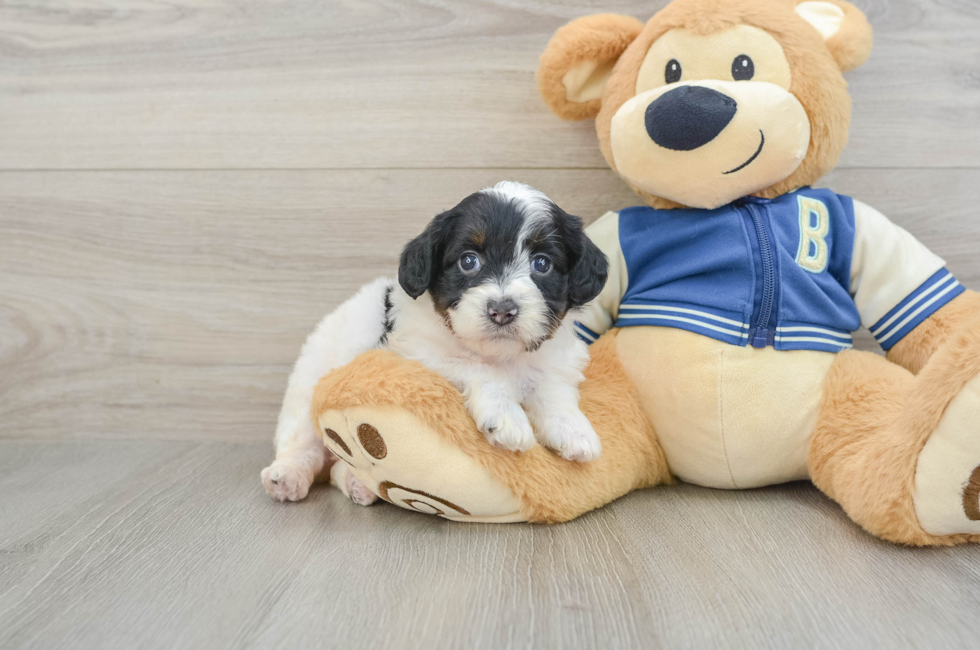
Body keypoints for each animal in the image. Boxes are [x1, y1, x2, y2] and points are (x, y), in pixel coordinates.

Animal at [264, 180, 608, 504]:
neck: (501, 354)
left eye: (542, 264)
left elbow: (553, 390)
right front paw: (507, 417)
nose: (502, 311)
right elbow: (483, 371)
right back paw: (288, 476)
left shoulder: (553, 362)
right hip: (310, 380)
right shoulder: (417, 352)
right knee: (304, 442)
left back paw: (357, 484)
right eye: (468, 261)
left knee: (338, 467)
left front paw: (573, 429)